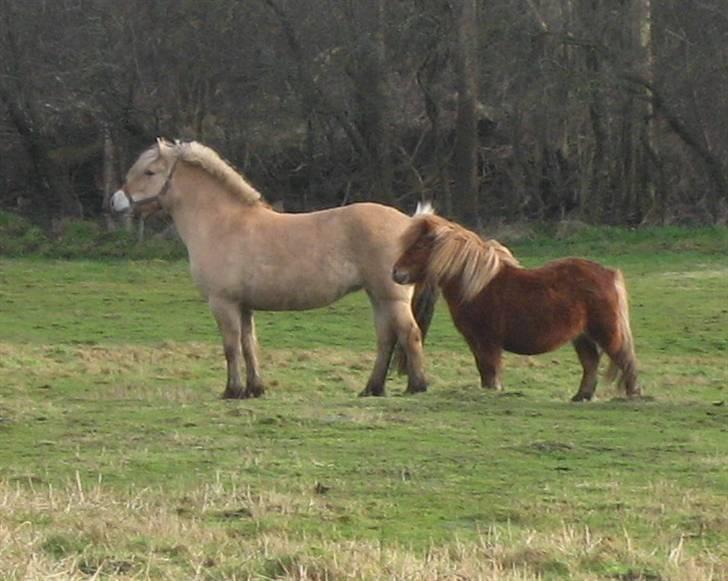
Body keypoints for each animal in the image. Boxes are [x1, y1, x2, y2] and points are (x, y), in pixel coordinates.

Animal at [111, 138, 436, 396]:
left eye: (149, 172)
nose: (115, 202)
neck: (222, 224)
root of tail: (410, 223)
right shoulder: (243, 306)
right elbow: (249, 345)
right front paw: (255, 389)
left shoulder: (223, 303)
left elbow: (231, 347)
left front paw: (232, 390)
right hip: (377, 297)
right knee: (386, 339)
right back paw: (372, 388)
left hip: (391, 298)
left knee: (409, 334)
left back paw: (416, 386)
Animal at [392, 215, 636, 402]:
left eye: (419, 245)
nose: (396, 273)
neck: (476, 286)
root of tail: (608, 273)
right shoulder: (475, 341)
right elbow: (484, 370)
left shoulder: (488, 341)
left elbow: (491, 370)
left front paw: (493, 392)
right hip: (582, 336)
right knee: (591, 363)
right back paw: (581, 396)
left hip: (605, 332)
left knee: (625, 359)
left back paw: (633, 395)